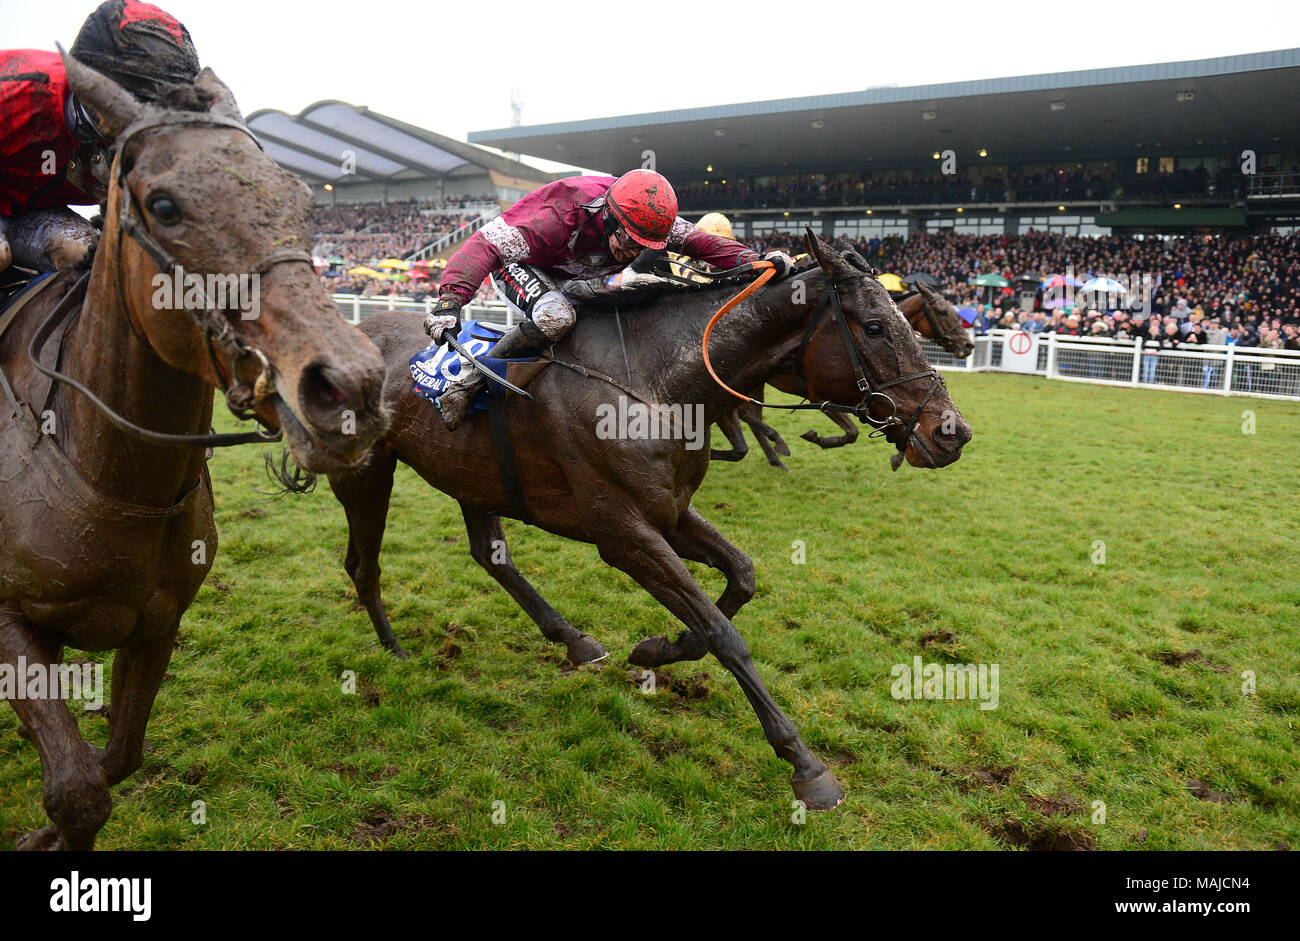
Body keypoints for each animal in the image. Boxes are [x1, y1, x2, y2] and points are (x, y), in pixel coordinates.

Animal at [0, 55, 384, 847]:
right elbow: (77, 790)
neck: (110, 475)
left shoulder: (157, 621)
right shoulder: (9, 620)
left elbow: (111, 763)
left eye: (301, 198)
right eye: (166, 205)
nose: (351, 388)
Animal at [712, 279, 977, 470]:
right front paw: (817, 438)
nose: (968, 345)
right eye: (943, 311)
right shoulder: (820, 396)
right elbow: (852, 432)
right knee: (747, 415)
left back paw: (775, 457)